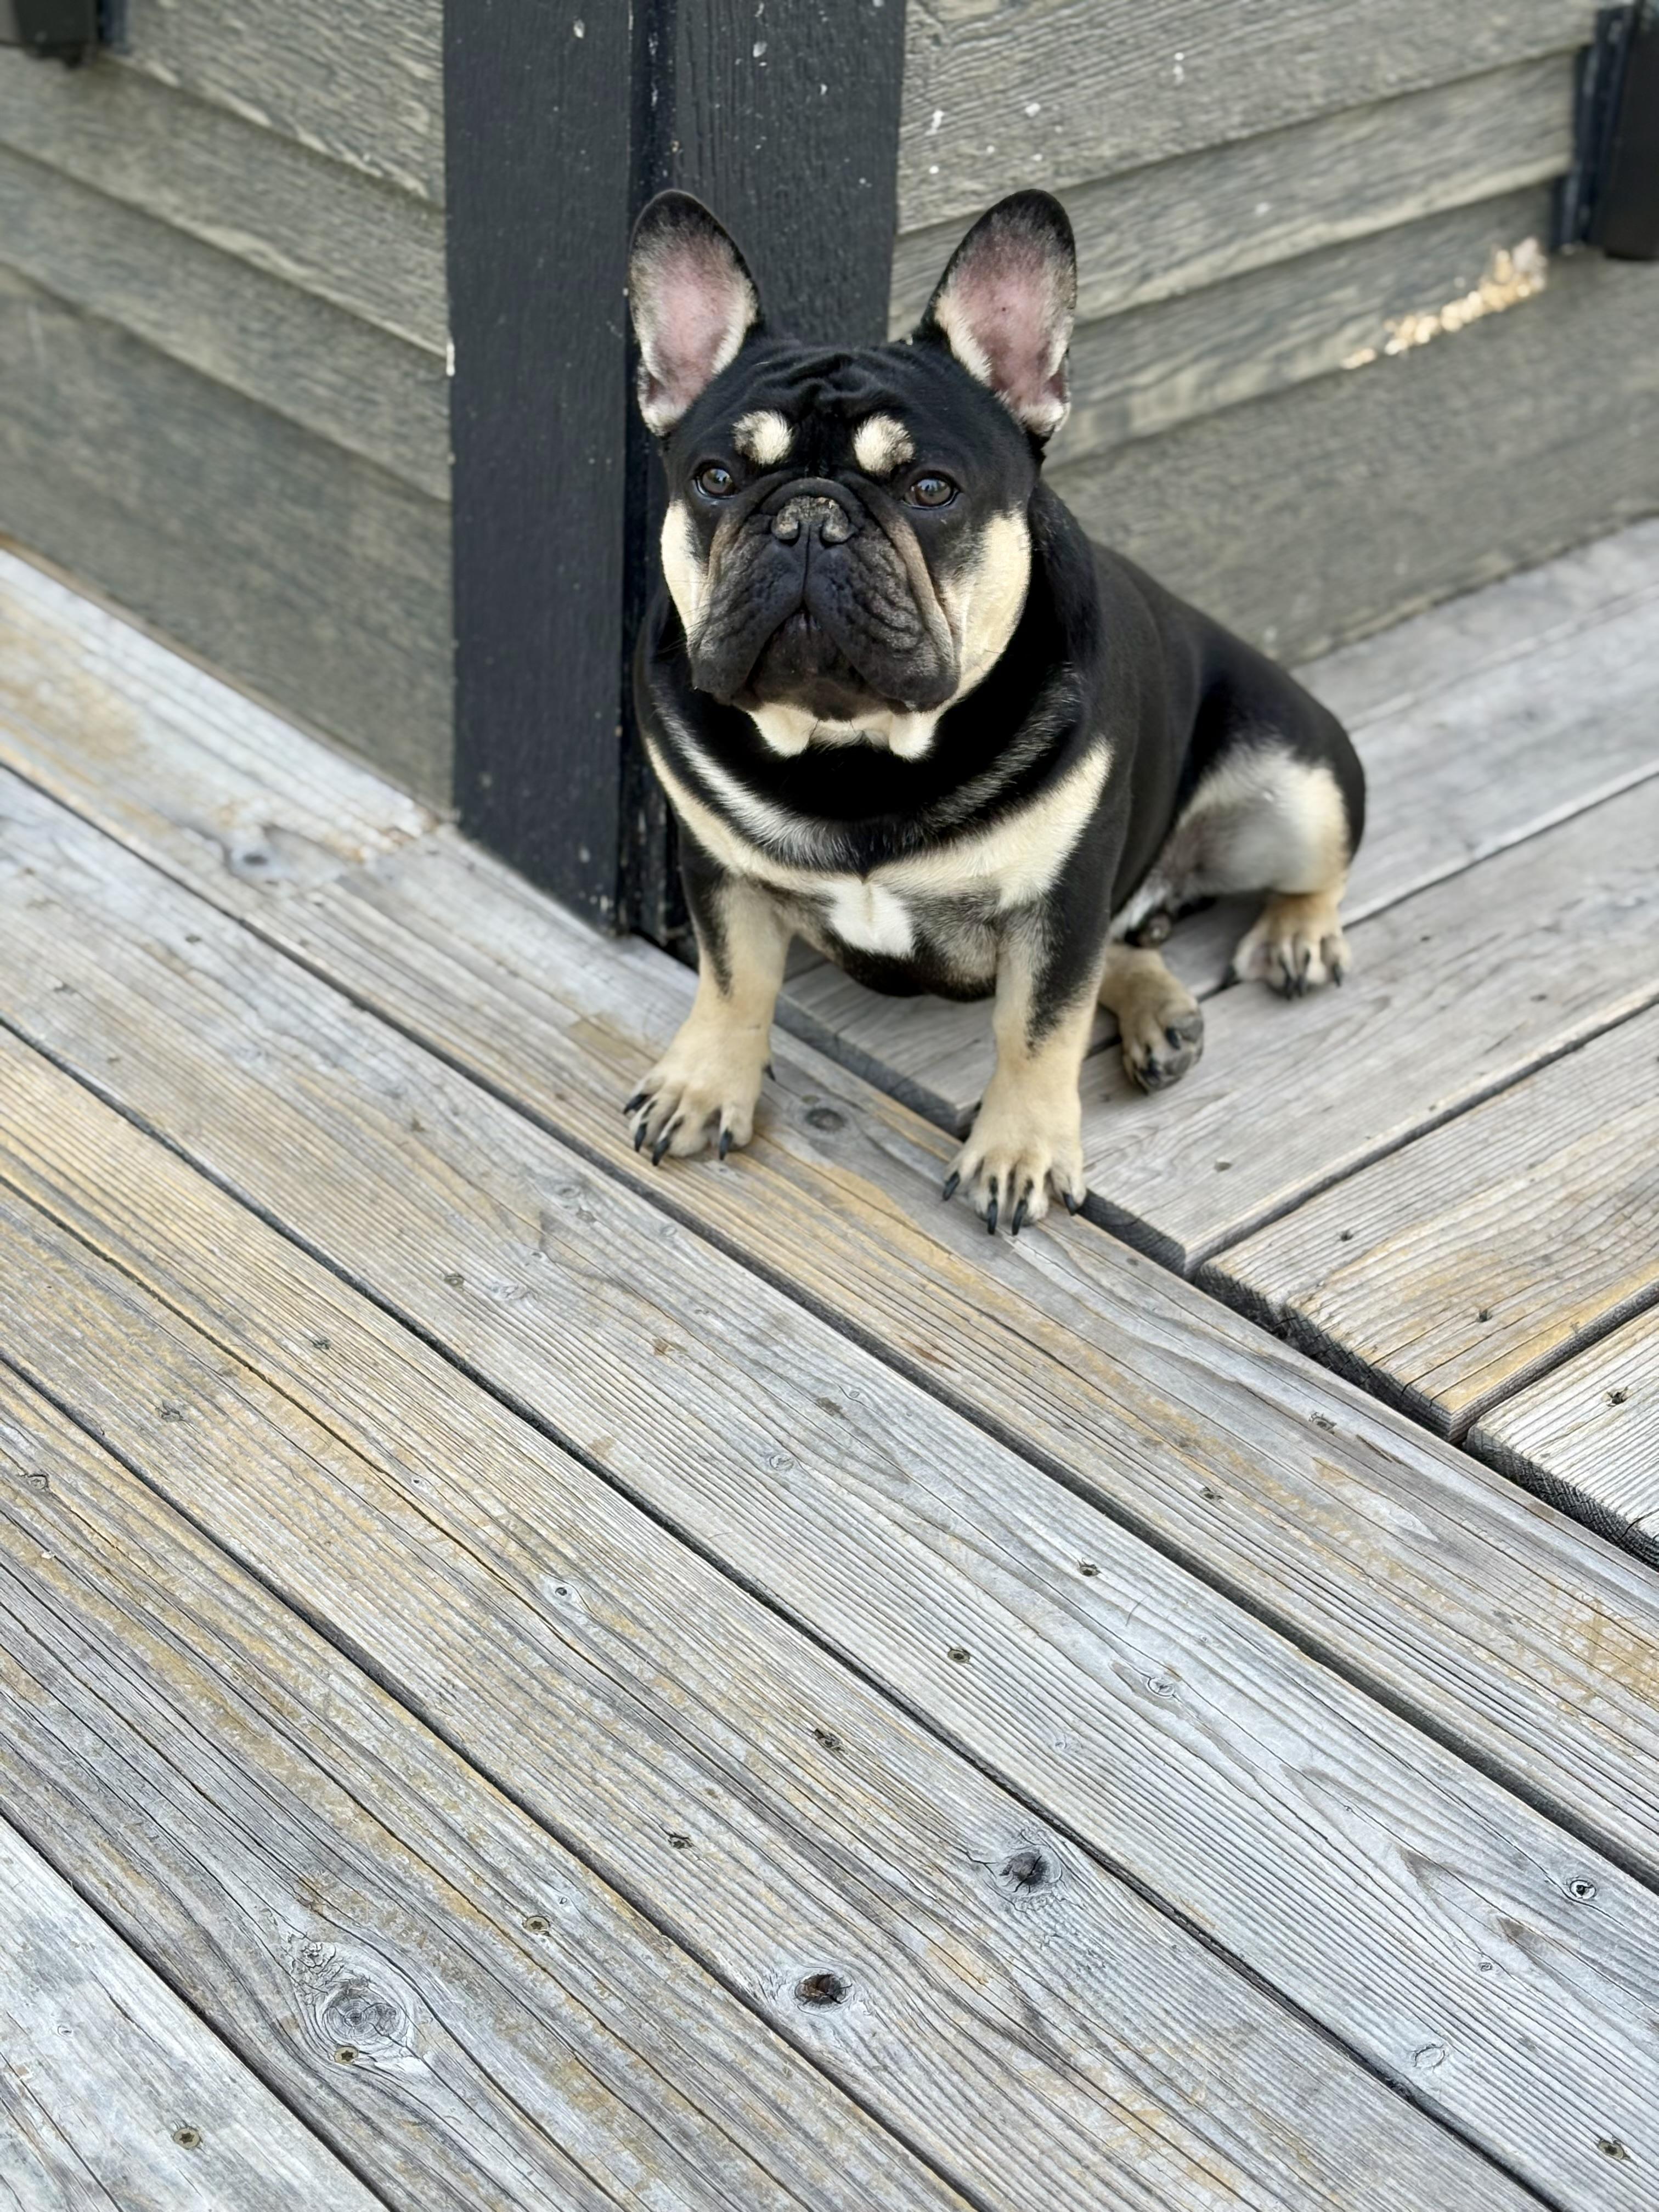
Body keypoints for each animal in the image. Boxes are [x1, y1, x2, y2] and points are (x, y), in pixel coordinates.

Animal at [624, 187, 1365, 1233]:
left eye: (930, 489)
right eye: (715, 481)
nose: (808, 517)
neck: (853, 747)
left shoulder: (1059, 896)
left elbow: (1038, 1025)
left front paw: (1019, 1151)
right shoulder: (717, 867)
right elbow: (732, 983)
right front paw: (703, 1083)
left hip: (1297, 787)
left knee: (1309, 870)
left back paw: (1297, 936)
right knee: (1117, 950)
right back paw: (1161, 1013)